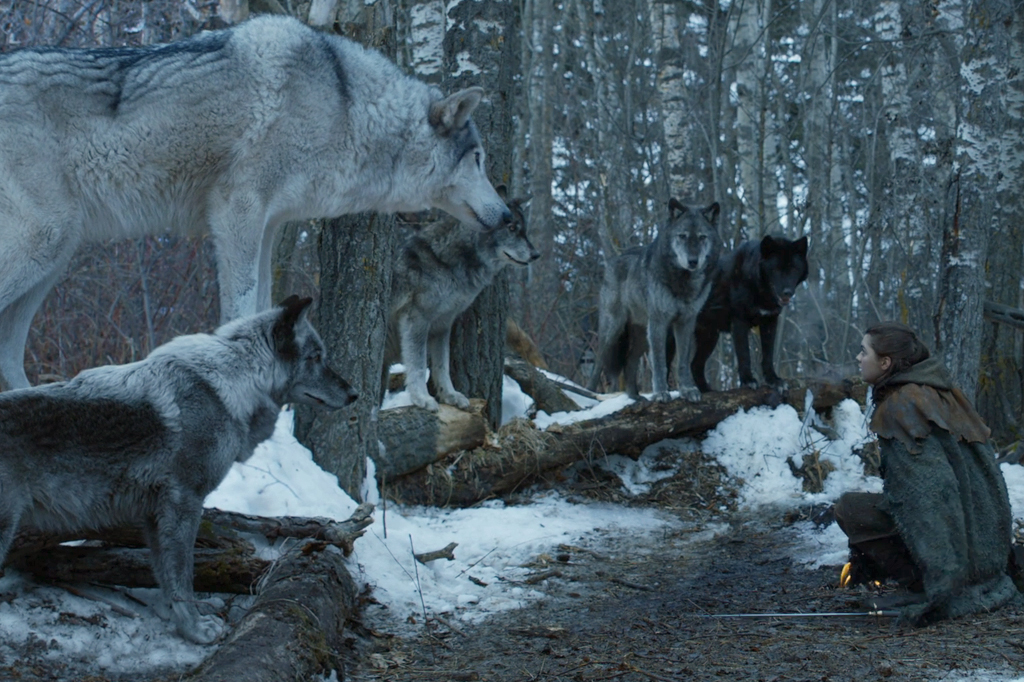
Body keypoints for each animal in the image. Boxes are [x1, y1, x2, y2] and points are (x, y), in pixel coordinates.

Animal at [0, 14, 511, 392]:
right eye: (480, 160)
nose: (507, 214)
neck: (345, 106)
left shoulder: (268, 226)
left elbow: (266, 302)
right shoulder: (237, 210)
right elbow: (243, 305)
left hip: (52, 262)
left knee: (8, 352)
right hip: (43, 245)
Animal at [0, 296, 356, 644]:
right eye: (316, 357)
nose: (354, 393)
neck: (232, 384)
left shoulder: (153, 515)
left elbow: (167, 578)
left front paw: (180, 620)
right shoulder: (184, 501)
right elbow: (183, 577)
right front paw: (196, 630)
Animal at [383, 195, 539, 411]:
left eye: (523, 230)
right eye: (512, 228)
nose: (536, 255)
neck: (447, 265)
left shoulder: (442, 326)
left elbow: (442, 366)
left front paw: (450, 395)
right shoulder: (416, 319)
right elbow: (418, 365)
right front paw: (422, 398)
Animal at [587, 200, 721, 402]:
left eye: (702, 237)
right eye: (682, 236)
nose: (693, 261)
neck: (683, 283)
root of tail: (611, 262)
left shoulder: (686, 322)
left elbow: (683, 362)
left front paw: (688, 390)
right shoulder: (659, 321)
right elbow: (659, 362)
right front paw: (660, 393)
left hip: (642, 335)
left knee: (629, 362)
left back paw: (635, 397)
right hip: (613, 331)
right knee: (598, 364)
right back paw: (588, 394)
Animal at [691, 235, 809, 392]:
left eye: (794, 269)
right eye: (776, 269)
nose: (787, 292)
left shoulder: (770, 322)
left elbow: (768, 355)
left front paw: (773, 380)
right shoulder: (739, 321)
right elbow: (744, 354)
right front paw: (748, 380)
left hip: (709, 337)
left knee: (695, 365)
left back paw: (708, 392)